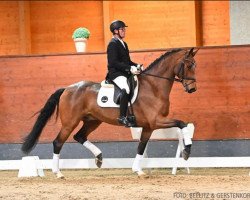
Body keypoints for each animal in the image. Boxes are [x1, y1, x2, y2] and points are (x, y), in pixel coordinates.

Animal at [21, 47, 198, 178]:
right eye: (189, 65)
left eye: (195, 65)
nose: (192, 89)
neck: (153, 86)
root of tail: (67, 88)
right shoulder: (156, 121)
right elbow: (181, 123)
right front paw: (187, 151)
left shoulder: (149, 126)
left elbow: (141, 147)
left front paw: (138, 170)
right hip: (70, 122)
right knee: (58, 142)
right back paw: (58, 173)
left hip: (93, 120)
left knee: (80, 136)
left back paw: (99, 158)